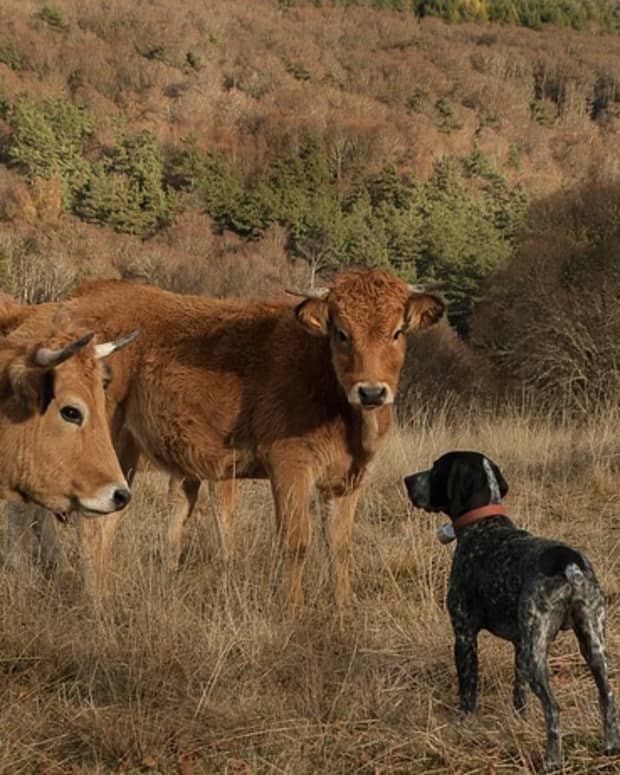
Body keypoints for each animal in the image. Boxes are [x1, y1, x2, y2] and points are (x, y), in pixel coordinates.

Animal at [12, 272, 444, 608]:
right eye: (341, 332)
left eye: (397, 332)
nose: (371, 391)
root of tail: (76, 301)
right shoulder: (289, 464)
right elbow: (295, 539)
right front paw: (291, 608)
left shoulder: (348, 479)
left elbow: (339, 545)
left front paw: (344, 607)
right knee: (89, 521)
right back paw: (96, 600)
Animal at [404, 452, 620, 772]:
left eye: (436, 468)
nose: (407, 480)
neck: (484, 525)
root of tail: (569, 565)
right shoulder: (519, 643)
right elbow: (519, 695)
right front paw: (519, 724)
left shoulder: (464, 635)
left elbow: (468, 693)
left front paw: (464, 727)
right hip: (592, 644)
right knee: (607, 695)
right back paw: (610, 746)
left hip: (537, 653)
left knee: (554, 709)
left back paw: (552, 760)